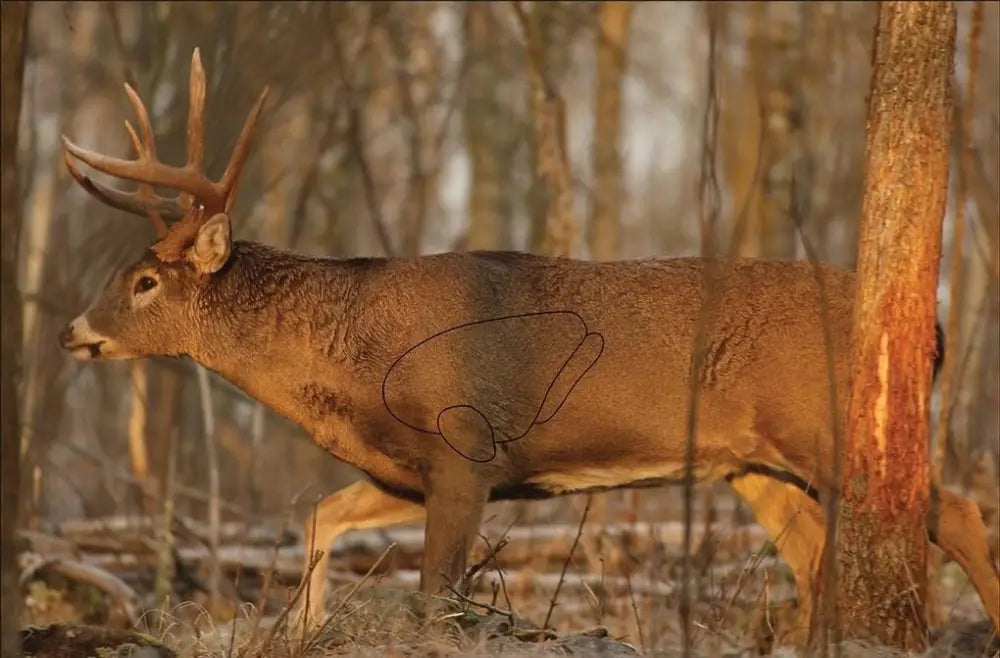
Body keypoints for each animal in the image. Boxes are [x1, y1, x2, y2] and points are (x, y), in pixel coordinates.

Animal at [58, 49, 999, 645]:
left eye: (145, 281)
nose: (72, 331)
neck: (350, 364)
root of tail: (934, 325)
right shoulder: (407, 470)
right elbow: (321, 516)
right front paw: (307, 628)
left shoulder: (466, 450)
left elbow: (437, 598)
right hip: (752, 464)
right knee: (813, 557)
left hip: (826, 427)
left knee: (954, 512)